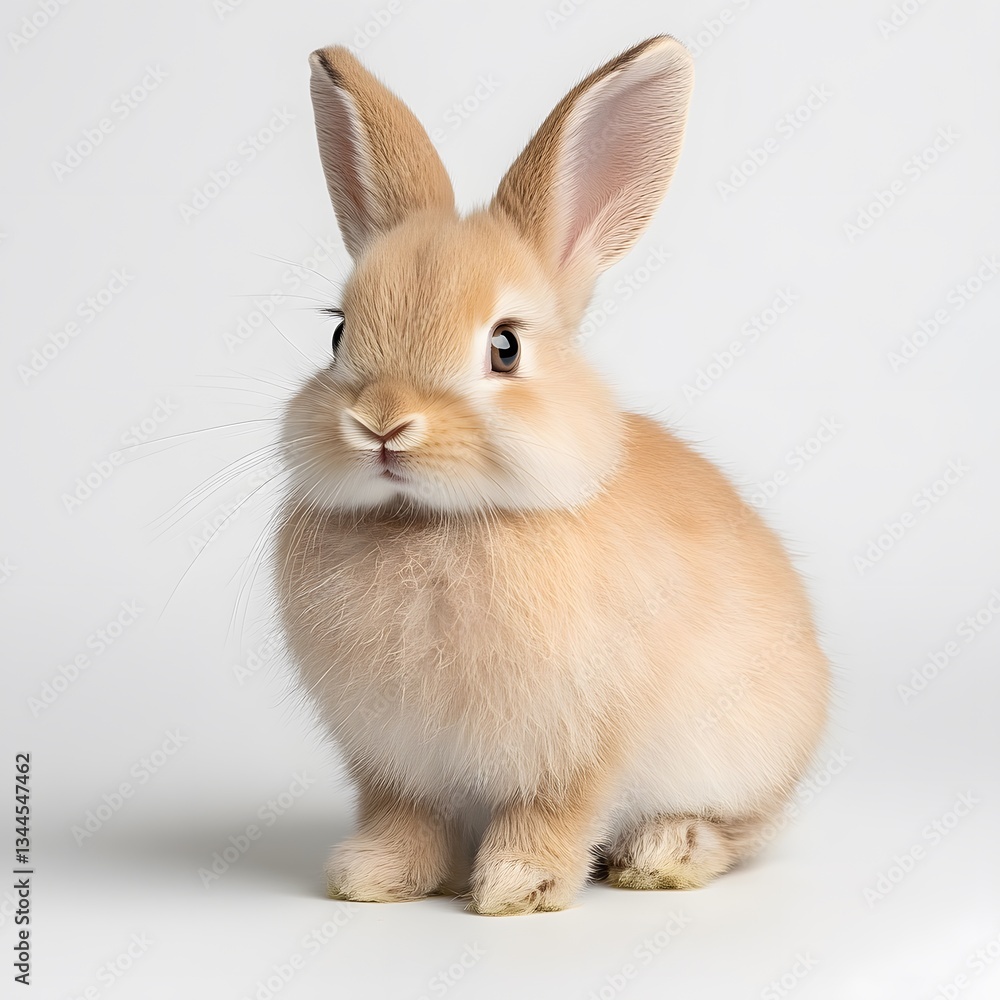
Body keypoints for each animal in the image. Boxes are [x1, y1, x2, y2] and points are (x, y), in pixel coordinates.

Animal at [275, 35, 829, 916]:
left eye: (505, 346)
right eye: (337, 336)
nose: (383, 424)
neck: (431, 524)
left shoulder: (582, 746)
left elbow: (554, 809)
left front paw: (516, 886)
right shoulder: (392, 759)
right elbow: (405, 816)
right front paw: (373, 876)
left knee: (739, 830)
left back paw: (665, 852)